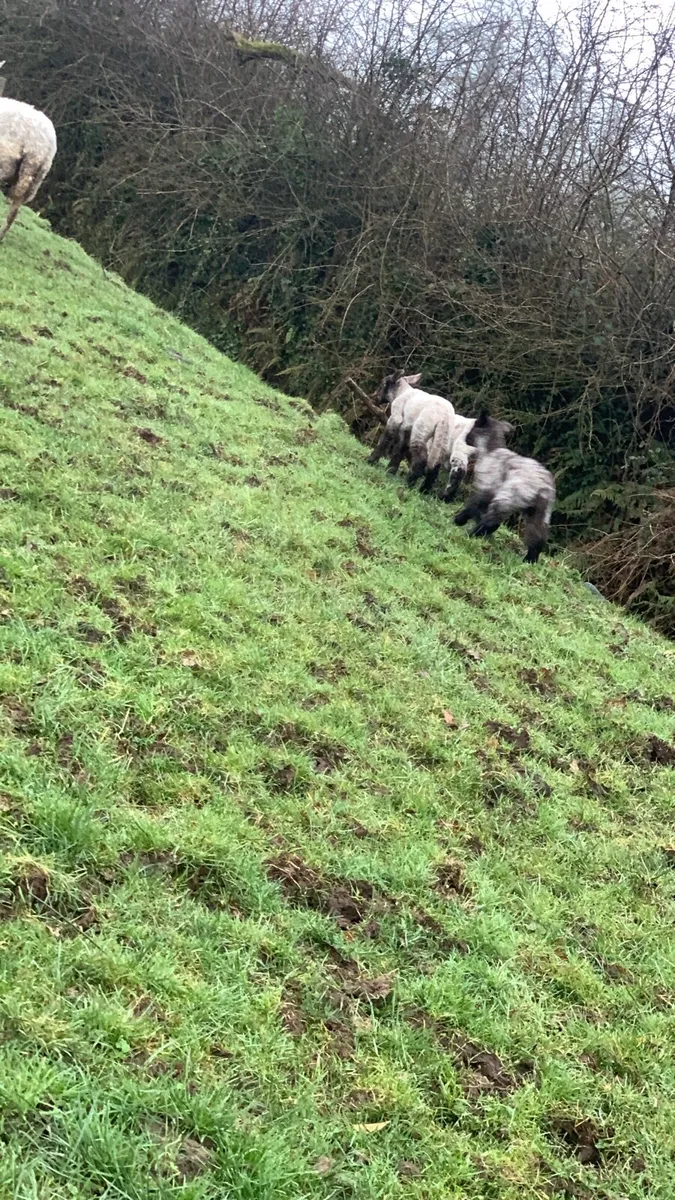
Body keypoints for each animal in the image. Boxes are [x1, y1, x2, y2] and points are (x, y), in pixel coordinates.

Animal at [453, 411, 556, 563]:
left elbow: (472, 507)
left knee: (492, 522)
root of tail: (542, 486)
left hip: (506, 500)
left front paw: (459, 520)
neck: (490, 450)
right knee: (538, 538)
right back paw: (529, 560)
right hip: (539, 513)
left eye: (471, 429)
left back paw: (472, 534)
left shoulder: (485, 489)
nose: (465, 439)